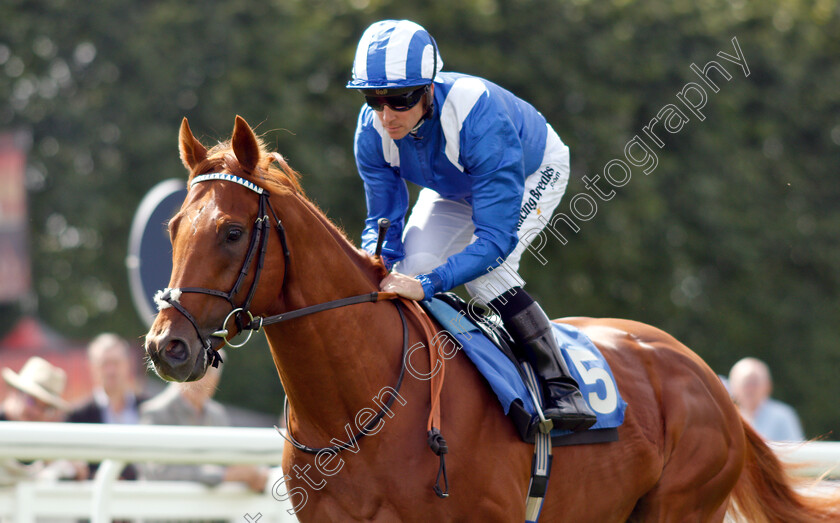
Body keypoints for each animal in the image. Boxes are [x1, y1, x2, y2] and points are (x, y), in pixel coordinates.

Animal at [148, 116, 836, 520]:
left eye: (233, 232)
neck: (362, 404)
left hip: (681, 507)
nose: (166, 346)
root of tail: (704, 377)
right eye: (174, 227)